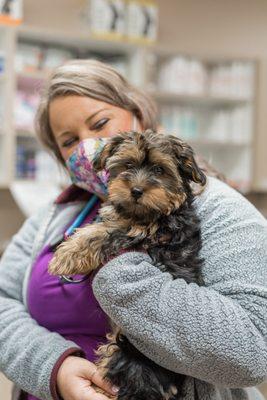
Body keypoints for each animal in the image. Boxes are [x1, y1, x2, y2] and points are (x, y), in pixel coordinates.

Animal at [48, 131, 207, 400]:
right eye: (128, 165)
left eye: (159, 169)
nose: (136, 190)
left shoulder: (141, 232)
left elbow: (101, 232)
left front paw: (66, 254)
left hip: (126, 355)